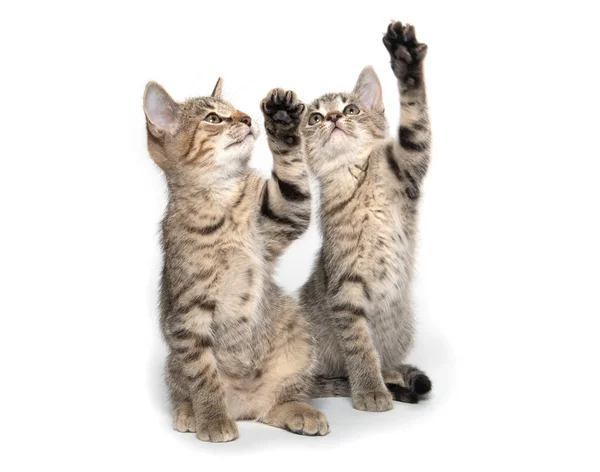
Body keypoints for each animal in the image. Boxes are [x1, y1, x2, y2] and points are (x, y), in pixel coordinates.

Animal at [144, 79, 330, 440]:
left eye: (236, 111)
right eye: (213, 118)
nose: (245, 118)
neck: (223, 202)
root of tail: (245, 407)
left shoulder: (283, 214)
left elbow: (293, 181)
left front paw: (282, 120)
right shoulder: (188, 314)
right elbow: (204, 375)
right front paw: (213, 418)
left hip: (298, 338)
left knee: (277, 403)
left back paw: (297, 410)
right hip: (173, 361)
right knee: (186, 389)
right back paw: (192, 412)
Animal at [302, 22, 434, 412]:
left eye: (351, 109)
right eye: (315, 117)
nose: (333, 118)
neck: (358, 178)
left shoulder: (408, 163)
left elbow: (415, 122)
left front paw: (405, 60)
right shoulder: (345, 285)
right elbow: (359, 344)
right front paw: (369, 389)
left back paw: (391, 374)